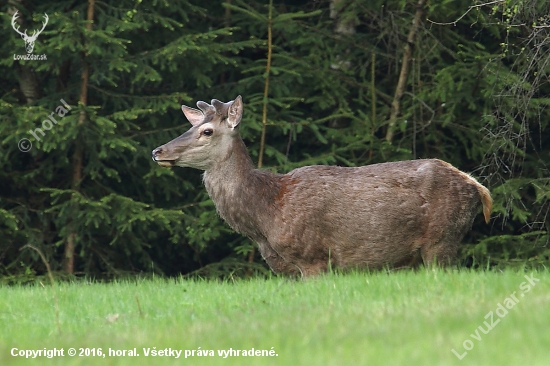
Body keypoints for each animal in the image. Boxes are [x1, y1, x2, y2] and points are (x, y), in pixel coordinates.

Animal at [153, 96, 494, 276]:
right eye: (191, 126)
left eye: (207, 131)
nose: (158, 151)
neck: (264, 216)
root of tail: (478, 187)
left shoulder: (313, 257)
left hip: (442, 239)